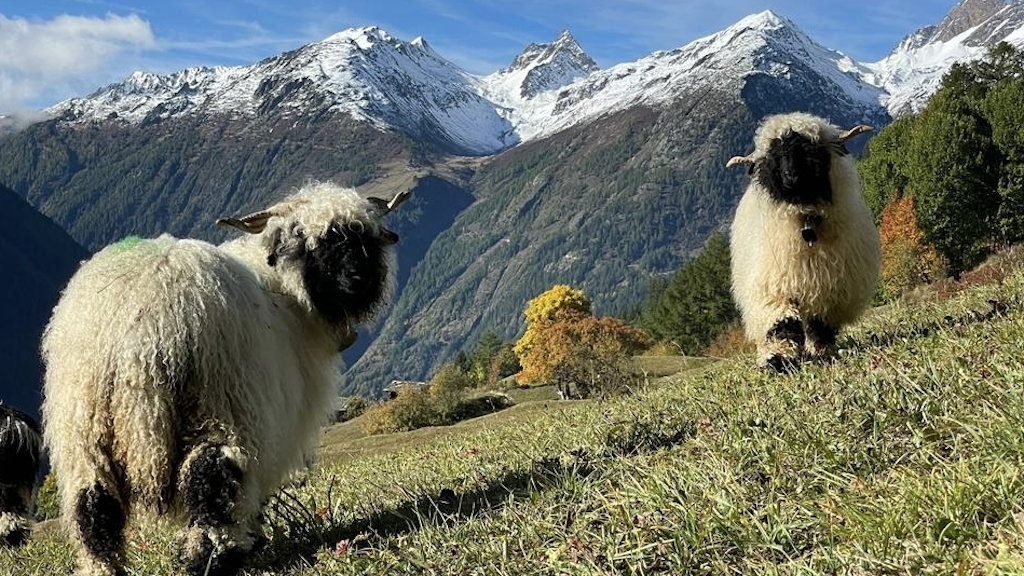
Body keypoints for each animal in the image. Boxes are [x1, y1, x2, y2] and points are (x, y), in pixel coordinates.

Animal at [43, 181, 411, 573]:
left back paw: (103, 565)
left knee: (93, 503)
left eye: (366, 237)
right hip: (220, 404)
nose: (358, 279)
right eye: (312, 242)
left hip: (84, 426)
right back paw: (215, 555)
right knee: (211, 476)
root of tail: (140, 329)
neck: (287, 295)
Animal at [729, 113, 880, 368]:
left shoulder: (830, 291)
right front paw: (777, 359)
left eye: (809, 149)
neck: (806, 222)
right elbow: (781, 324)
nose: (791, 177)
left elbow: (820, 326)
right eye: (774, 155)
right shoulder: (774, 287)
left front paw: (820, 351)